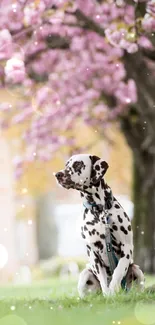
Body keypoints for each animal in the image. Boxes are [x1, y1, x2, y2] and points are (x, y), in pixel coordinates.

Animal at [55, 154, 145, 296]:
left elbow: (119, 270)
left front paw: (113, 288)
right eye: (66, 165)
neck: (100, 210)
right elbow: (103, 281)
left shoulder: (126, 247)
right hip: (85, 274)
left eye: (77, 164)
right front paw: (108, 295)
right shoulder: (93, 254)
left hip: (137, 270)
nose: (57, 174)